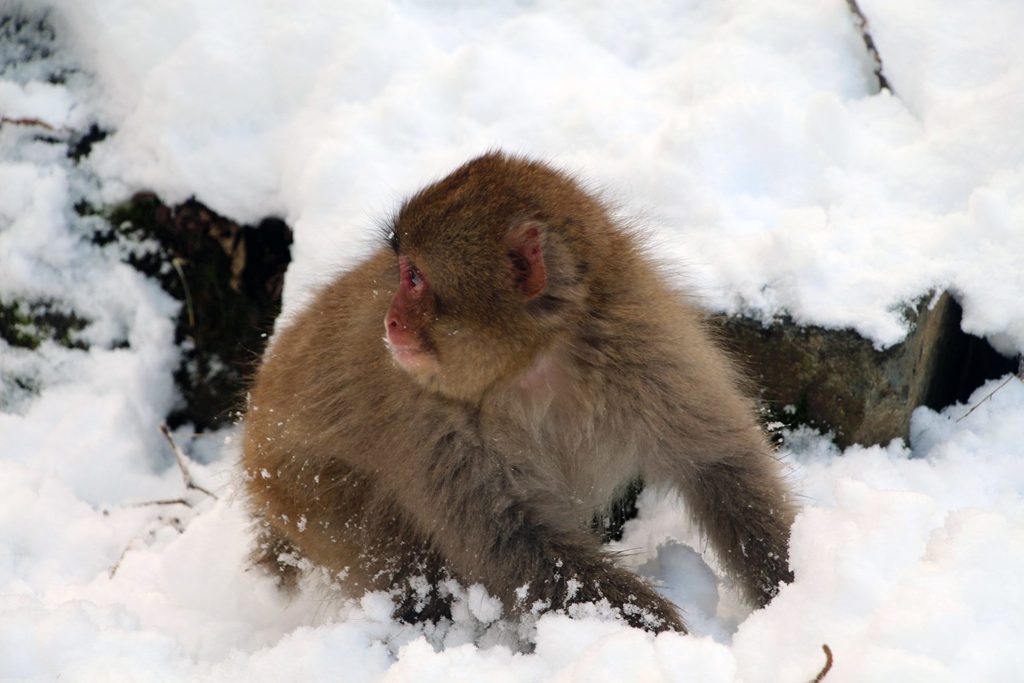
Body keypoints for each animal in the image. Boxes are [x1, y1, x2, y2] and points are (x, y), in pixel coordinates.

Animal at [243, 152, 794, 634]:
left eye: (414, 277)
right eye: (400, 273)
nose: (390, 321)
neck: (531, 365)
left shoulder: (644, 348)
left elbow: (720, 464)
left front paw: (792, 584)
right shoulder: (432, 424)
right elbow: (513, 546)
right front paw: (658, 631)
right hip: (303, 493)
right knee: (397, 557)